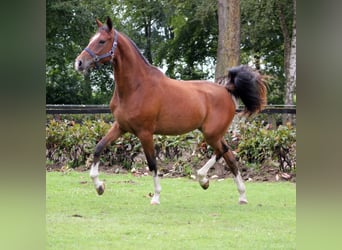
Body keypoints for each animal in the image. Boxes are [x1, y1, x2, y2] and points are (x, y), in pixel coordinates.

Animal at [75, 17, 268, 205]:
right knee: (230, 157)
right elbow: (98, 148)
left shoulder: (145, 133)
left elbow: (152, 163)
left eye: (101, 41)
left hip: (211, 134)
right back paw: (240, 195)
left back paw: (203, 178)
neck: (136, 87)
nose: (79, 63)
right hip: (214, 134)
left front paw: (156, 197)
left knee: (223, 151)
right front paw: (99, 186)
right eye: (91, 39)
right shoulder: (120, 127)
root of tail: (227, 89)